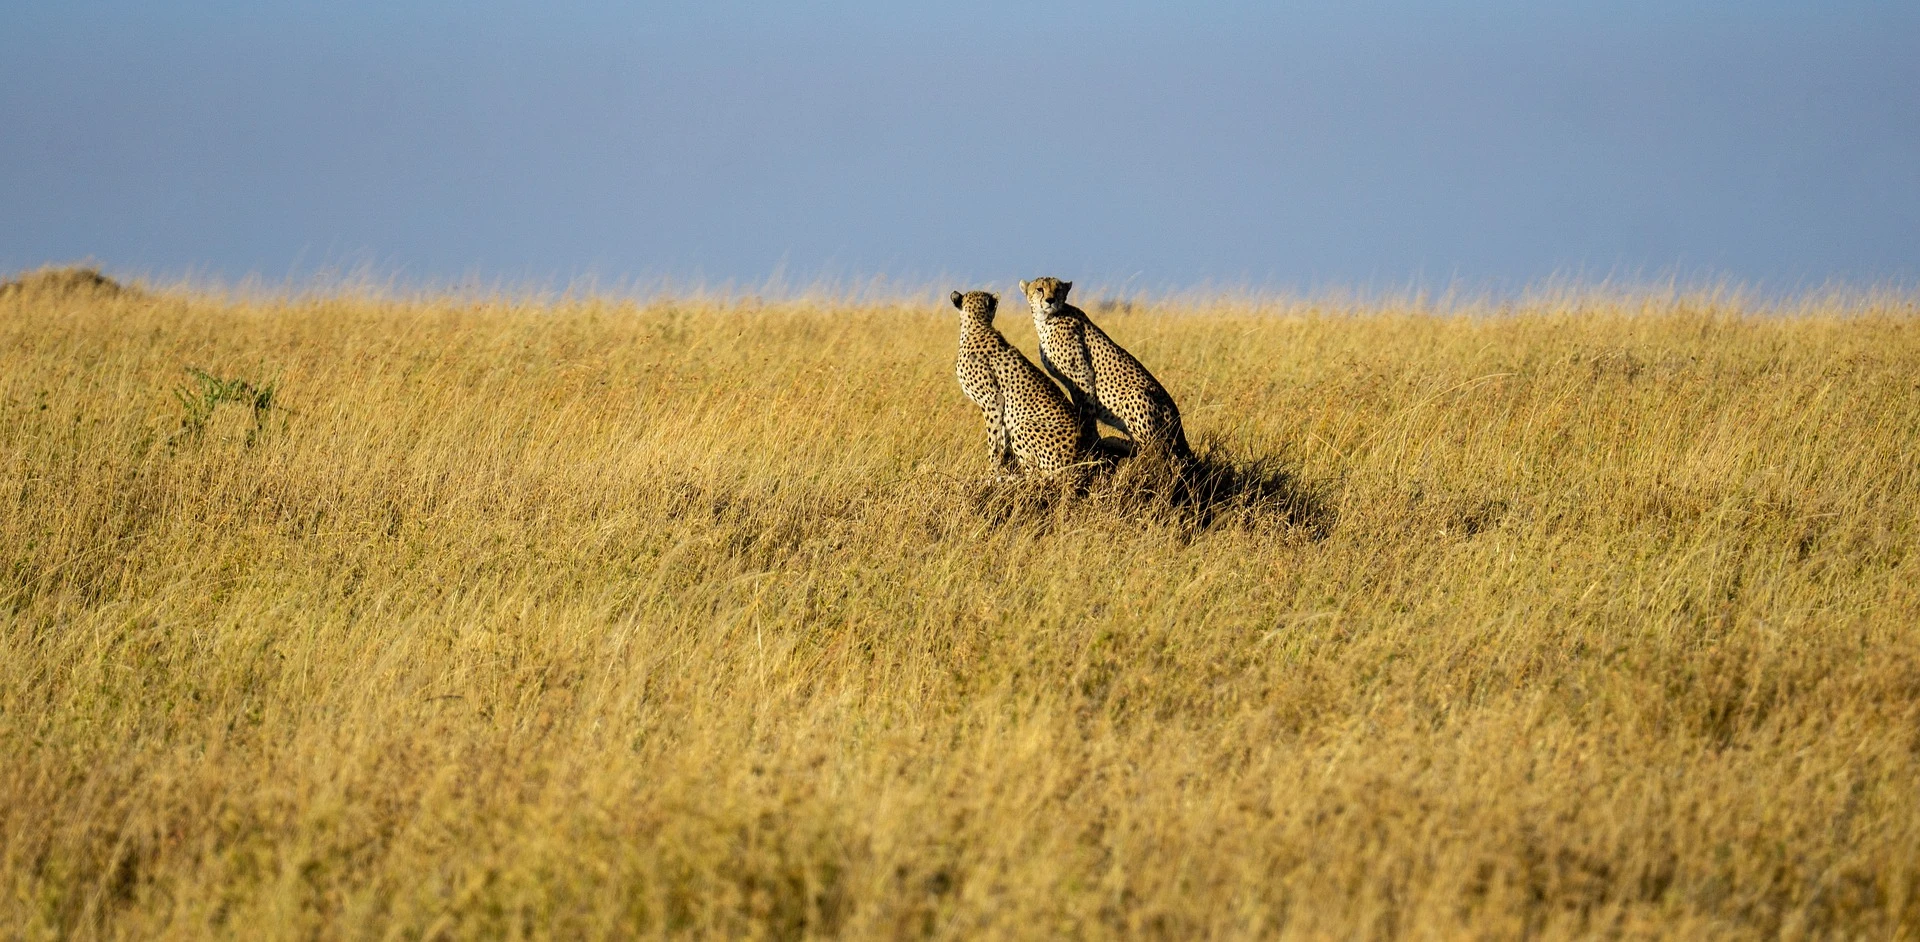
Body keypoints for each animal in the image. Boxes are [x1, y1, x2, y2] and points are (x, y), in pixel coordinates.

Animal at [948, 291, 1090, 475]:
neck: (977, 326)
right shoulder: (1000, 408)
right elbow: (1001, 437)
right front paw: (1002, 465)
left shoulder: (992, 399)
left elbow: (993, 439)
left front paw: (993, 471)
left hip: (1023, 426)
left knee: (1036, 472)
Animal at [1013, 276, 1190, 460]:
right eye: (1040, 289)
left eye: (1058, 289)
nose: (1050, 300)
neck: (1046, 320)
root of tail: (1179, 425)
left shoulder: (1082, 375)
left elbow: (1086, 411)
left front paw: (1091, 440)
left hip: (1137, 395)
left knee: (1158, 448)